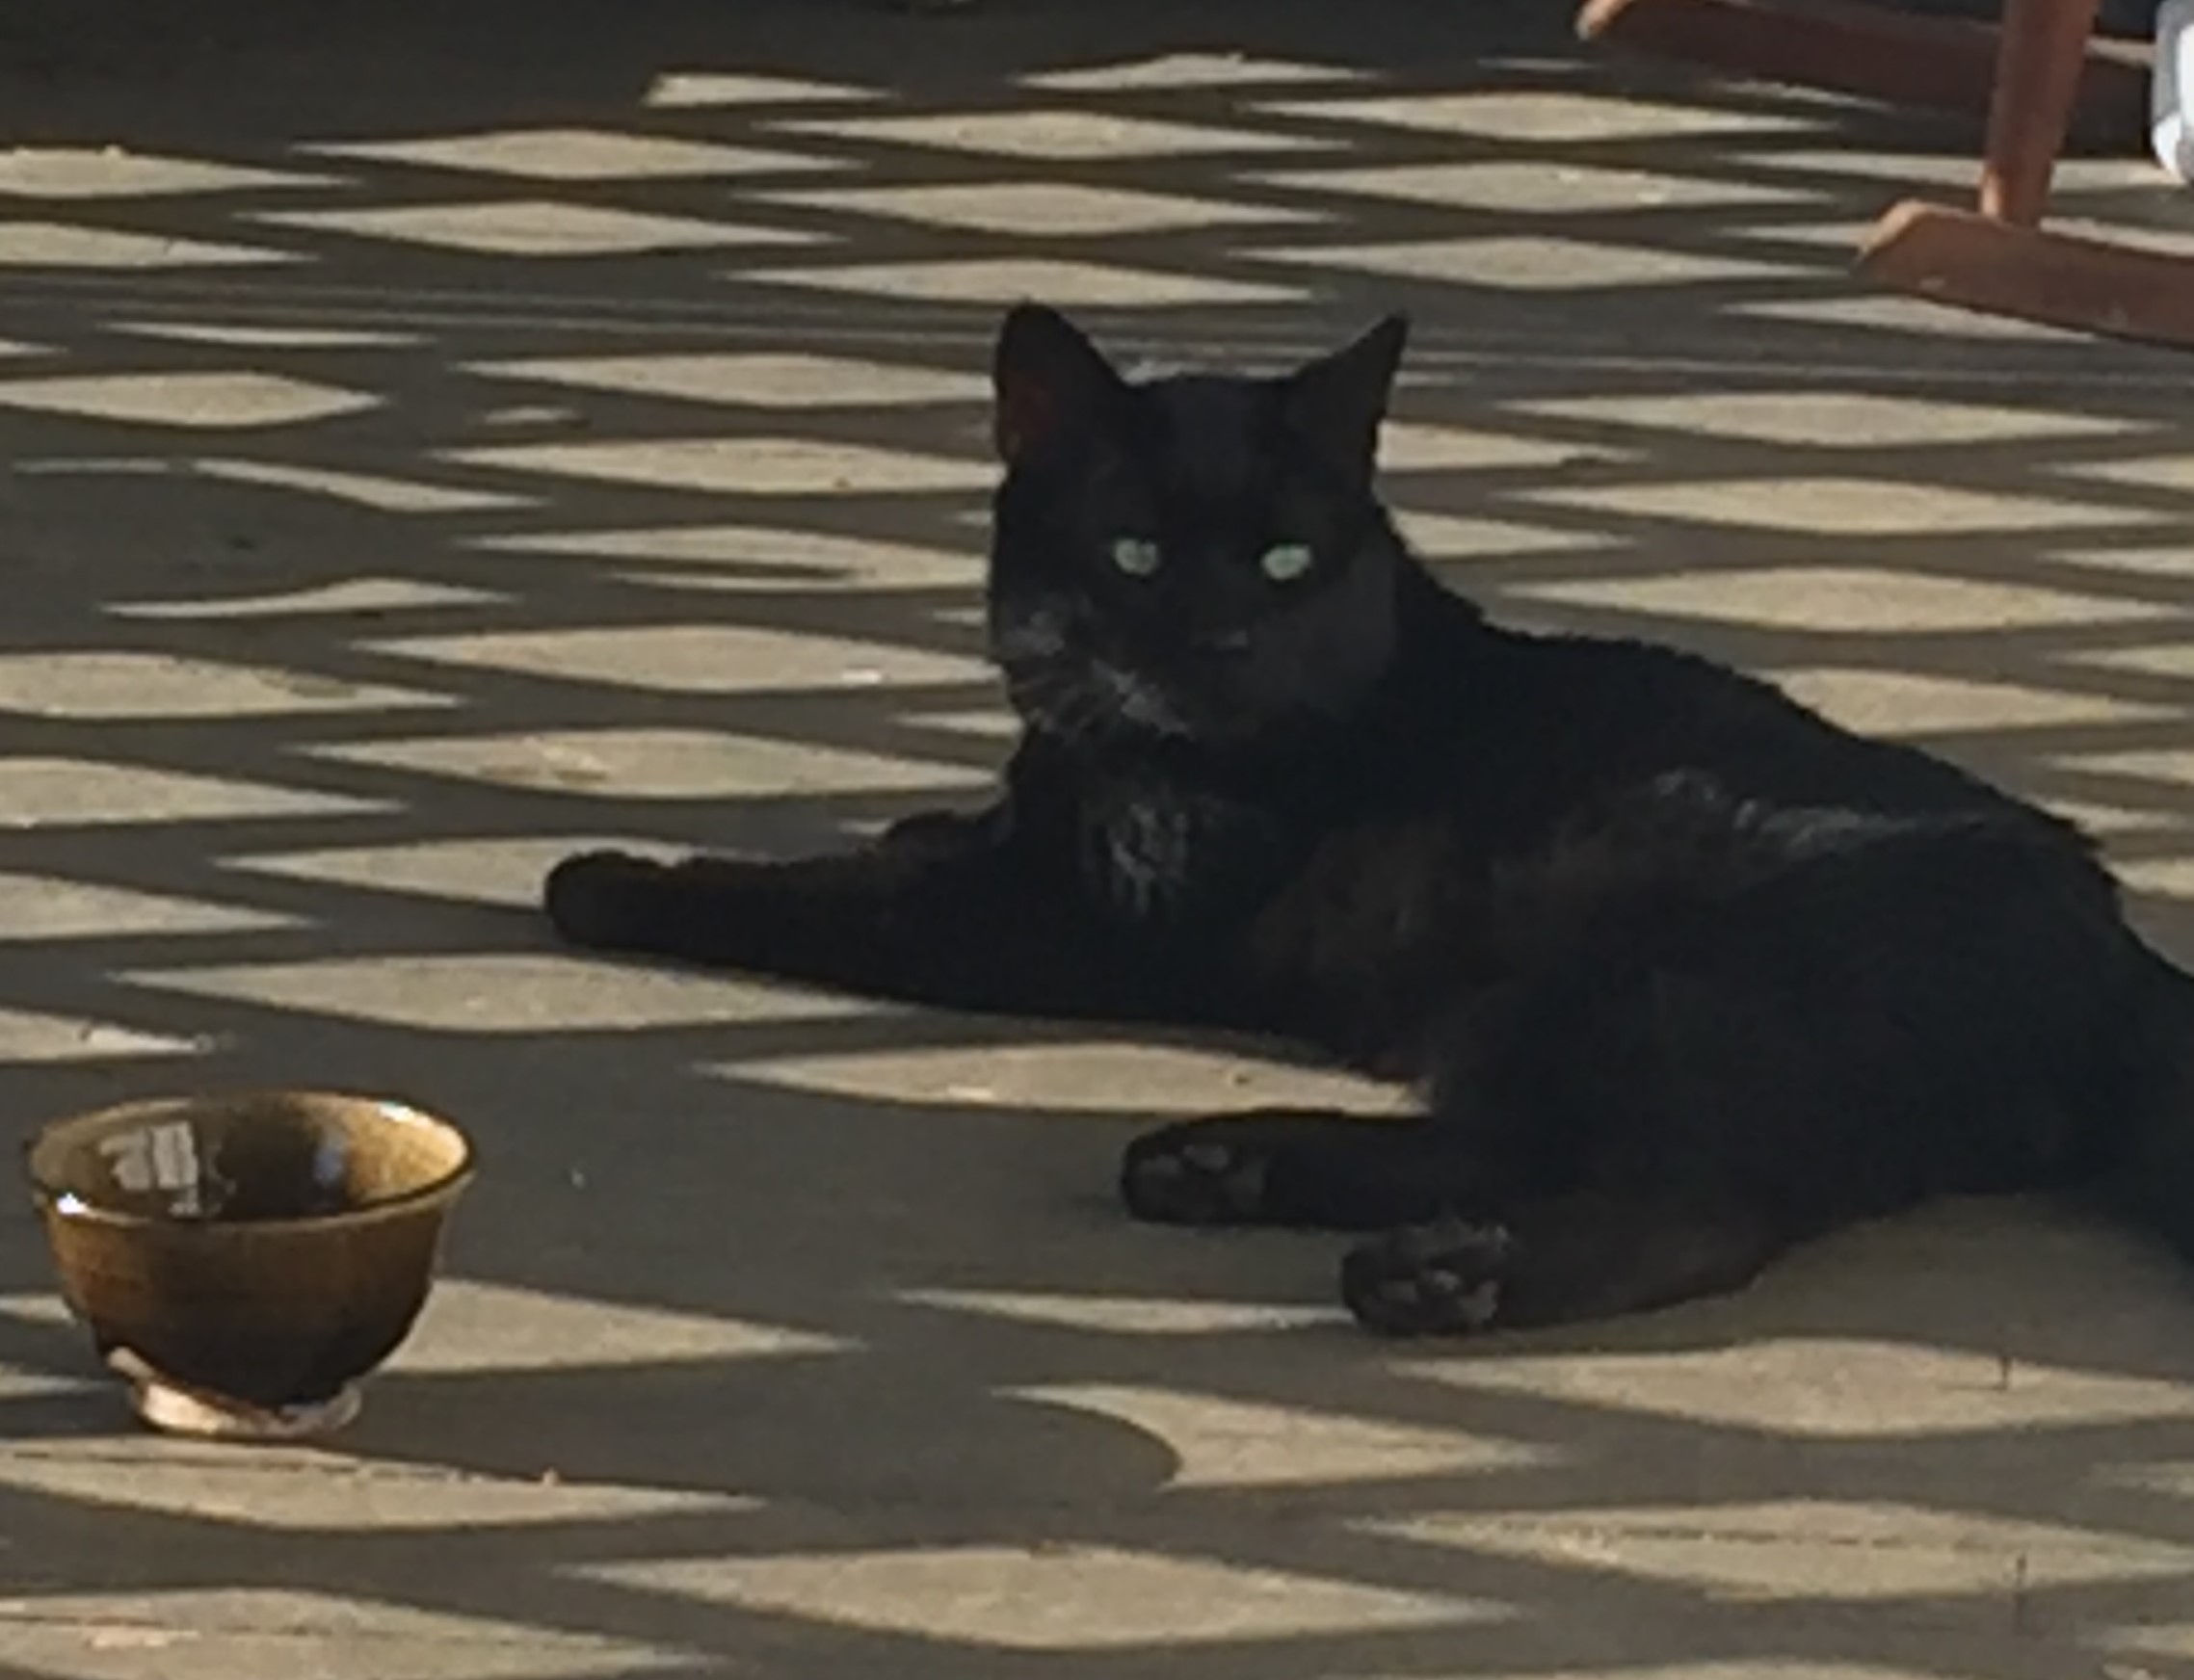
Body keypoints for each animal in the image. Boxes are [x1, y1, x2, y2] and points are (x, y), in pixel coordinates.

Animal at [543, 303, 2194, 1339]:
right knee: (1523, 1141)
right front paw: (916, 820)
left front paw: (609, 878)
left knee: (1696, 1206)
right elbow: (929, 842)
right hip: (1543, 1013)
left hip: (1666, 986)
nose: (1220, 638)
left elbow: (822, 902)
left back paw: (1433, 1285)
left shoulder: (1076, 926)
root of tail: (2116, 949)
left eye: (1282, 559)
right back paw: (1224, 1169)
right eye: (1135, 552)